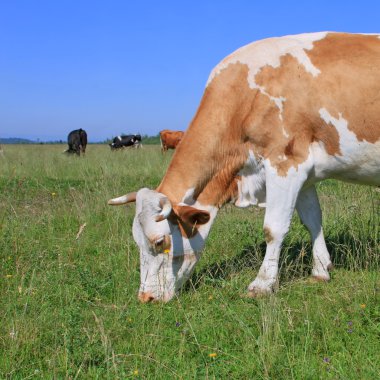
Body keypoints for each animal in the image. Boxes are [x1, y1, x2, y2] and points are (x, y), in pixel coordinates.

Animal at [108, 32, 380, 302]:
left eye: (159, 241)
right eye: (136, 241)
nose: (146, 298)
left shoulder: (284, 162)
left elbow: (273, 228)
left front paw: (262, 284)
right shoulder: (305, 174)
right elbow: (313, 220)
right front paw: (321, 270)